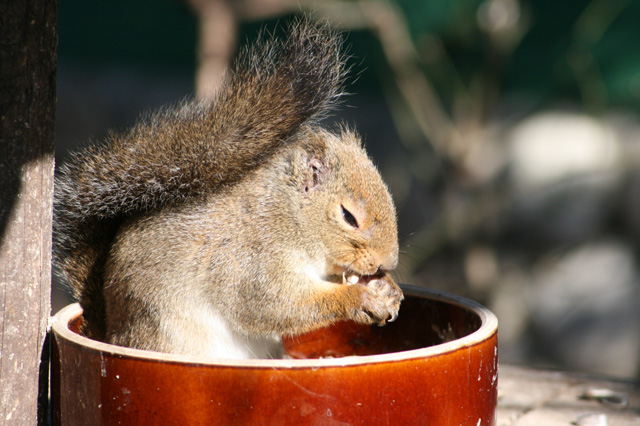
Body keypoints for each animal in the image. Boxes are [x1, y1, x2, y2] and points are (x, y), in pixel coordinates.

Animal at [56, 20, 404, 360]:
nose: (385, 264)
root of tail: (112, 332)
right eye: (349, 217)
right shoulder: (252, 260)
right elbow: (274, 304)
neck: (288, 215)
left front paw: (388, 288)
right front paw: (357, 297)